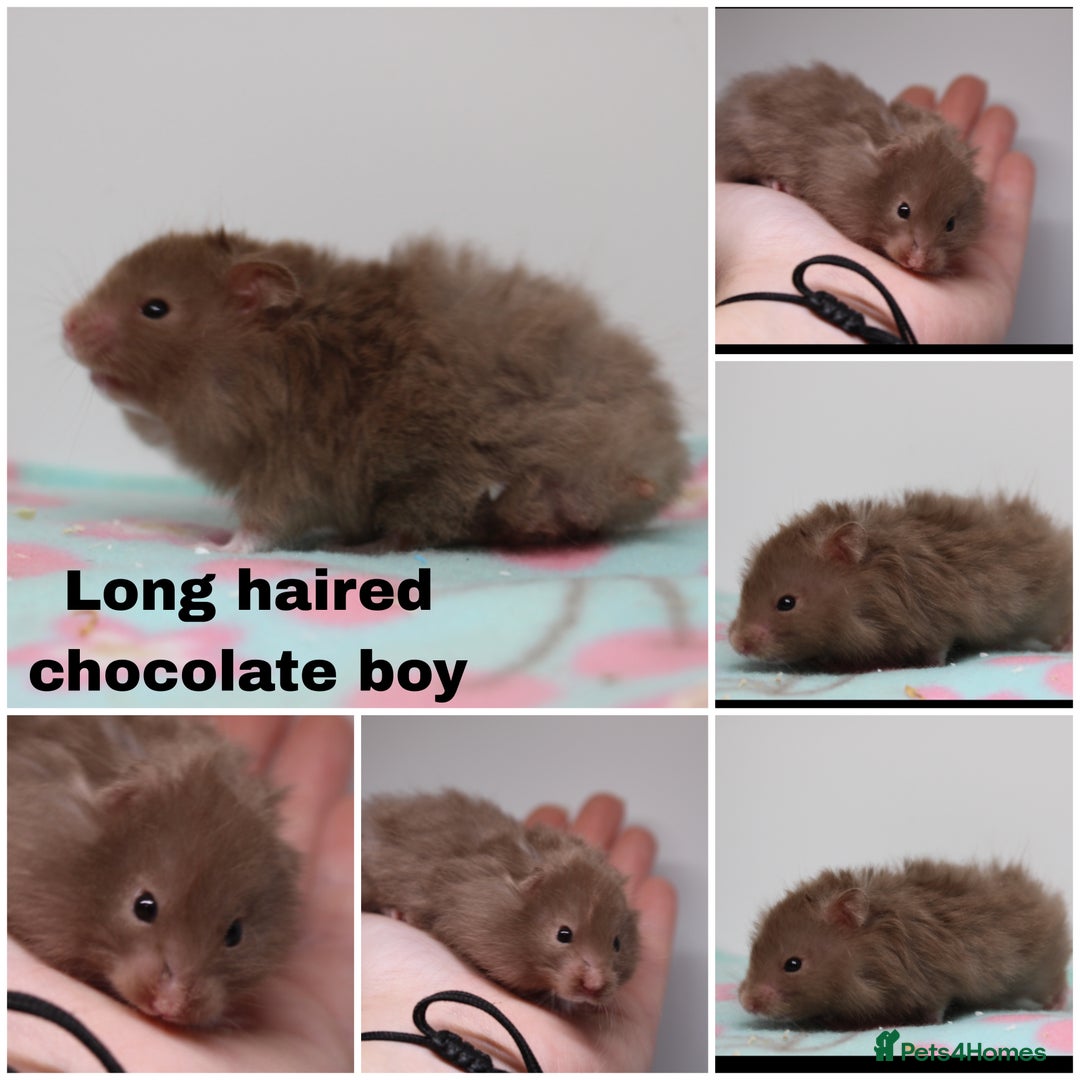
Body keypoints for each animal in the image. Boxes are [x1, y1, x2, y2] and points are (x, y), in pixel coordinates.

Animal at [62, 229, 689, 553]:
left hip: (449, 479)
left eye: (155, 309)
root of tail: (651, 466)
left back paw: (354, 548)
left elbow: (262, 523)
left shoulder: (290, 463)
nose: (66, 328)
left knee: (415, 530)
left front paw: (216, 549)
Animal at [740, 859, 1071, 1030]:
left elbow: (935, 1007)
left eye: (792, 964)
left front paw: (924, 1024)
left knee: (1054, 983)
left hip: (1041, 970)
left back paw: (1058, 1005)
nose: (745, 1002)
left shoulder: (935, 983)